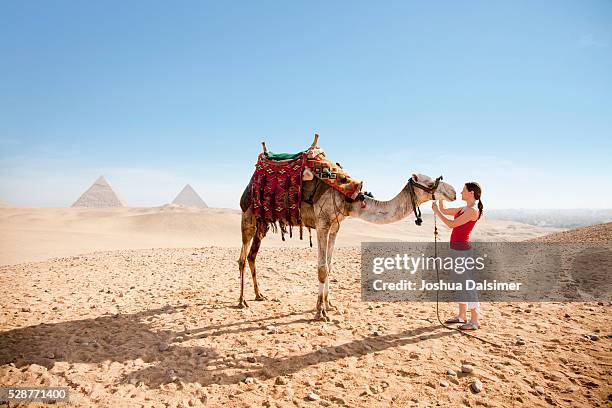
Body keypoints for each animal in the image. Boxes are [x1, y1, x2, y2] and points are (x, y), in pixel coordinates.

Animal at [237, 137, 456, 322]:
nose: (453, 192)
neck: (349, 198)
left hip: (263, 222)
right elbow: (322, 268)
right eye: (431, 182)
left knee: (252, 255)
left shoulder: (335, 226)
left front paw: (329, 305)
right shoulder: (322, 223)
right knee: (242, 258)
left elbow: (330, 265)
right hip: (248, 216)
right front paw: (320, 312)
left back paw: (259, 295)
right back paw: (242, 301)